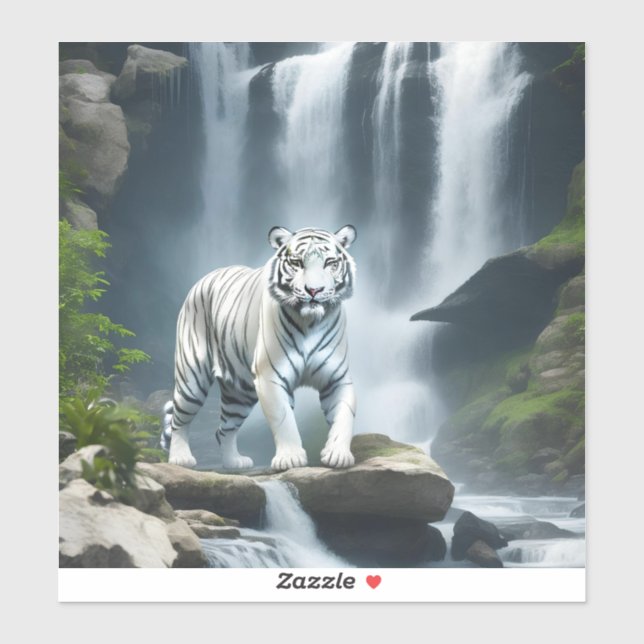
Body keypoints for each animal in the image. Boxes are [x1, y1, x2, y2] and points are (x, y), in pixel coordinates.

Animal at [161, 225, 358, 471]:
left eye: (330, 262)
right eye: (297, 262)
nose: (314, 290)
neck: (311, 322)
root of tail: (205, 277)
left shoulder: (337, 378)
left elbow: (344, 415)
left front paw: (338, 454)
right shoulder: (270, 376)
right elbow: (284, 418)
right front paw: (291, 458)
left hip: (240, 394)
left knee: (224, 428)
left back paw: (233, 462)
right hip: (192, 378)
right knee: (179, 419)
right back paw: (181, 458)